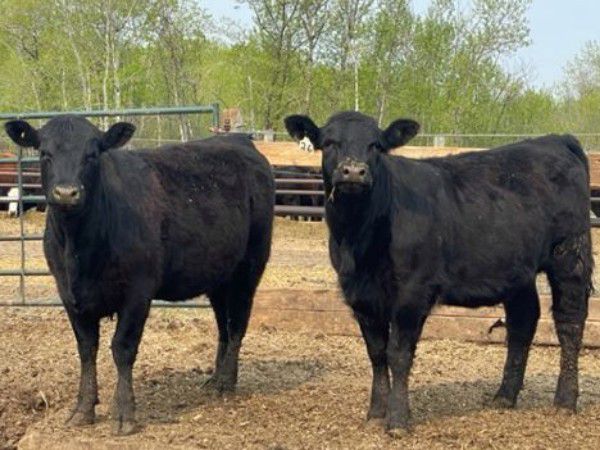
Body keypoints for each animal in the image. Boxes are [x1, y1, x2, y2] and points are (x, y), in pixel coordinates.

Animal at [4, 116, 275, 435]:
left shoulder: (138, 291)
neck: (78, 248)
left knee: (238, 324)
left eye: (92, 154)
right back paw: (214, 379)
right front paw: (83, 409)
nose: (67, 193)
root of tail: (238, 140)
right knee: (223, 324)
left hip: (250, 265)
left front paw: (124, 414)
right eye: (45, 153)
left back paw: (226, 383)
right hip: (219, 275)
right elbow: (86, 349)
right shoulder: (69, 294)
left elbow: (122, 348)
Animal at [284, 111, 592, 435]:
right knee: (523, 320)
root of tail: (556, 139)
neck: (359, 238)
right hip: (518, 269)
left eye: (376, 145)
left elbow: (398, 354)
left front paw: (397, 420)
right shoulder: (359, 295)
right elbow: (376, 353)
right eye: (330, 142)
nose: (354, 171)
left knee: (569, 323)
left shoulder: (413, 291)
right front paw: (376, 413)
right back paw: (504, 397)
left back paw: (564, 401)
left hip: (570, 254)